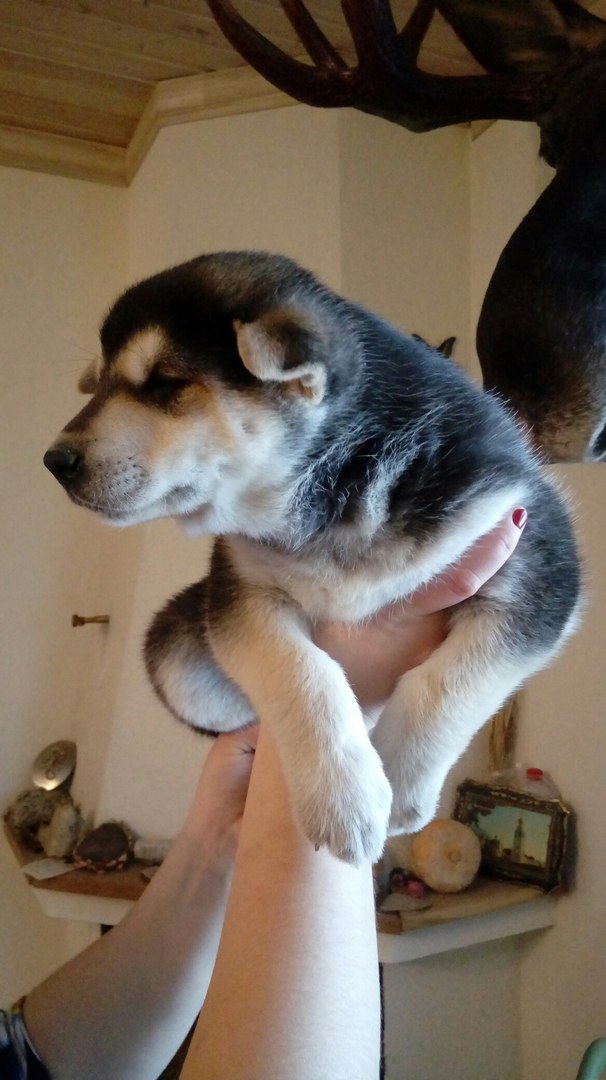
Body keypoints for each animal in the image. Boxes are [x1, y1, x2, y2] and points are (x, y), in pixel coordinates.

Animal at [44, 251, 581, 865]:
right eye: (98, 385)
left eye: (166, 383)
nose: (54, 460)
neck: (337, 489)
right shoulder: (239, 590)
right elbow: (302, 673)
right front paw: (344, 796)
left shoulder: (533, 543)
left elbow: (452, 681)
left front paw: (401, 783)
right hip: (175, 651)